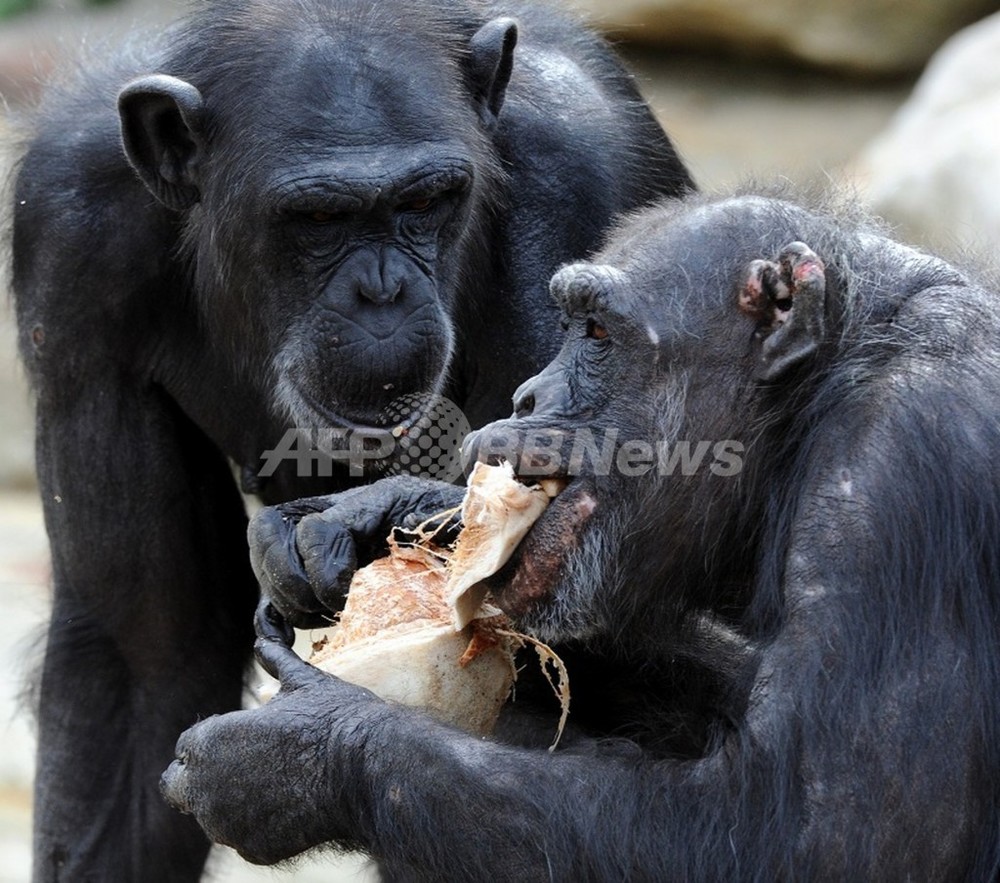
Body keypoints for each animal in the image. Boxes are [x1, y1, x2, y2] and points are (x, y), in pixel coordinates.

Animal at [9, 0, 696, 876]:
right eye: (317, 218)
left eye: (428, 201)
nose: (381, 290)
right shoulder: (69, 242)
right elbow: (143, 653)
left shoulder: (583, 174)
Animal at [162, 190, 1000, 880]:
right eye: (568, 326)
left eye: (596, 331)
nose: (532, 392)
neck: (823, 389)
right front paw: (371, 515)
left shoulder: (902, 466)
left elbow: (813, 833)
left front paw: (288, 754)